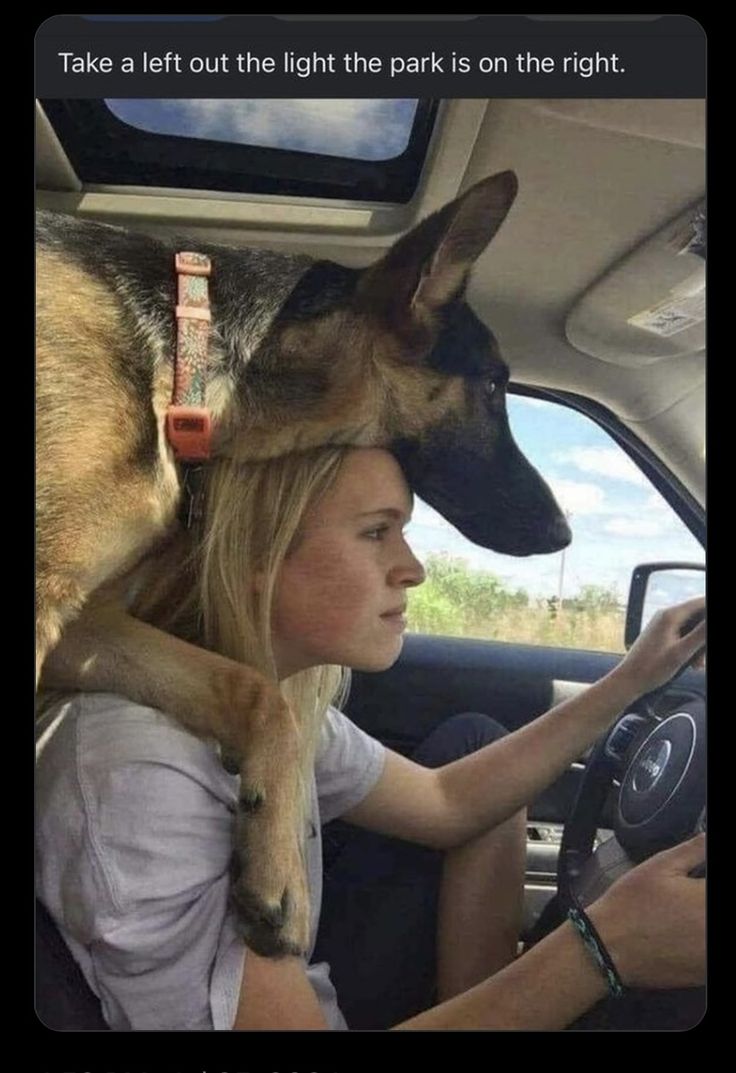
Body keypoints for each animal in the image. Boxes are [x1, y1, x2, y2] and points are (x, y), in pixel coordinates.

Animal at [37, 171, 575, 961]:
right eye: (493, 386)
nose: (564, 530)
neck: (181, 364)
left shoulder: (82, 627)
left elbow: (258, 690)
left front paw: (275, 865)